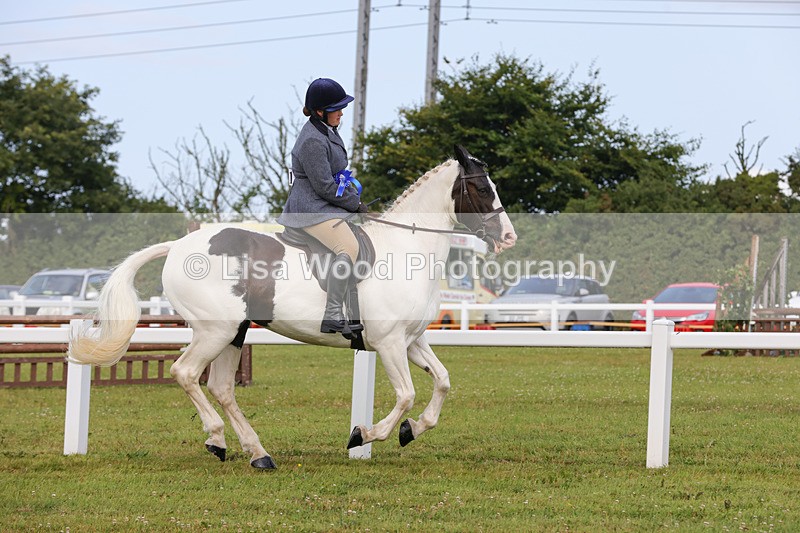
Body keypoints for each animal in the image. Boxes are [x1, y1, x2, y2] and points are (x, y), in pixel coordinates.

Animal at [68, 145, 517, 469]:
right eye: (482, 189)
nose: (509, 237)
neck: (407, 248)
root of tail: (178, 245)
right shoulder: (389, 343)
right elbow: (406, 395)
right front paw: (365, 434)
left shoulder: (411, 341)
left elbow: (442, 382)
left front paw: (412, 430)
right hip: (216, 330)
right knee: (186, 373)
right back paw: (218, 438)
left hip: (234, 332)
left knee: (221, 387)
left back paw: (256, 453)